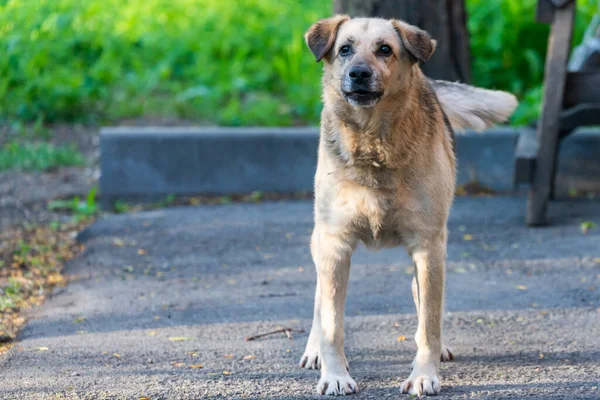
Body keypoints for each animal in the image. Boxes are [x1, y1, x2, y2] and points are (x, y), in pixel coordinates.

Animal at [300, 15, 520, 396]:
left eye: (385, 49)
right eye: (345, 49)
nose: (359, 73)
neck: (373, 143)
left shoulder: (428, 247)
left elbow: (429, 323)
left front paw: (423, 374)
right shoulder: (335, 244)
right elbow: (332, 323)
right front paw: (334, 374)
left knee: (424, 303)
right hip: (322, 242)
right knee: (320, 300)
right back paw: (314, 350)